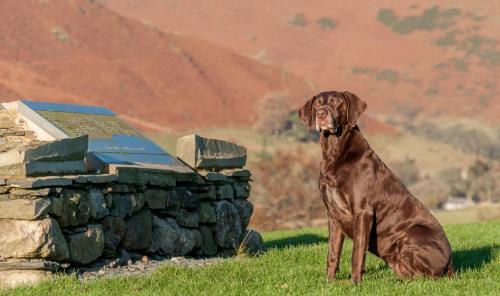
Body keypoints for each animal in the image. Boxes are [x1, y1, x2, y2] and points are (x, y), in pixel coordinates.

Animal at [298, 91, 456, 284]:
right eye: (317, 103)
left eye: (336, 102)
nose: (321, 114)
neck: (334, 152)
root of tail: (450, 264)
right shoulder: (334, 215)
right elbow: (333, 253)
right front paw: (329, 282)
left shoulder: (363, 211)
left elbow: (357, 252)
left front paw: (355, 283)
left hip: (409, 234)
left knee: (426, 277)